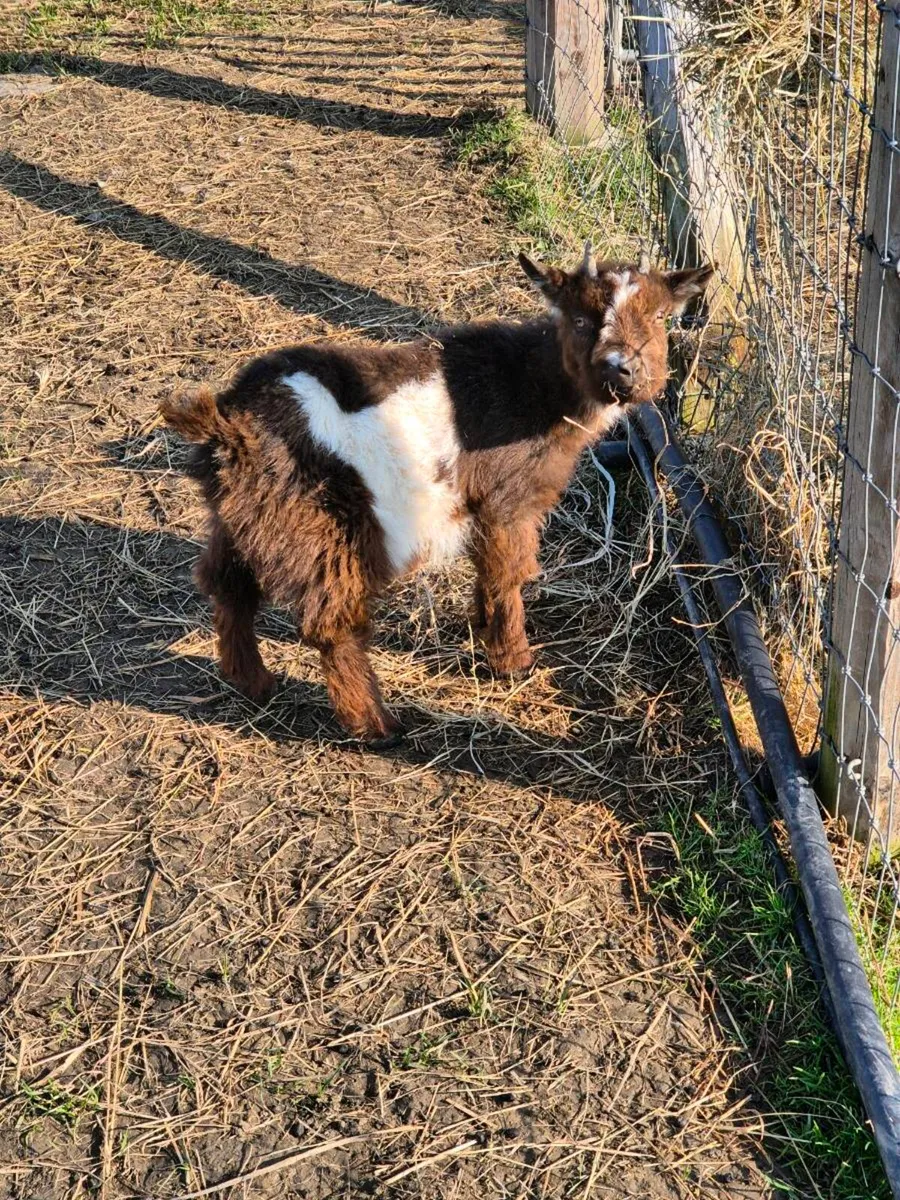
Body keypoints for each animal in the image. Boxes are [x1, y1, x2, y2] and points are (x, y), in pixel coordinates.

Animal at [161, 244, 713, 747]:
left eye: (660, 316)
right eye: (580, 318)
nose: (624, 370)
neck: (535, 386)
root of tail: (226, 423)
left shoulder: (482, 507)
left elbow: (488, 570)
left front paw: (482, 630)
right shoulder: (507, 501)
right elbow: (509, 573)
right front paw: (514, 662)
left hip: (246, 515)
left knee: (226, 584)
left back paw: (252, 682)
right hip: (322, 525)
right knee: (330, 623)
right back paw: (376, 726)